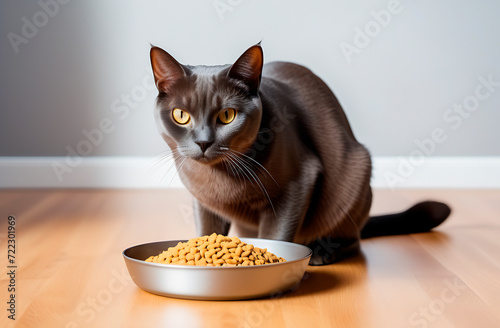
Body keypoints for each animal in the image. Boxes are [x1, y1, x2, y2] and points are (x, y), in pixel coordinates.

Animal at [148, 43, 450, 266]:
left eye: (227, 116)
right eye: (181, 115)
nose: (203, 142)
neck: (217, 178)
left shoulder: (298, 183)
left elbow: (276, 235)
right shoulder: (204, 203)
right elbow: (205, 230)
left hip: (356, 172)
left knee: (353, 239)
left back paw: (322, 252)